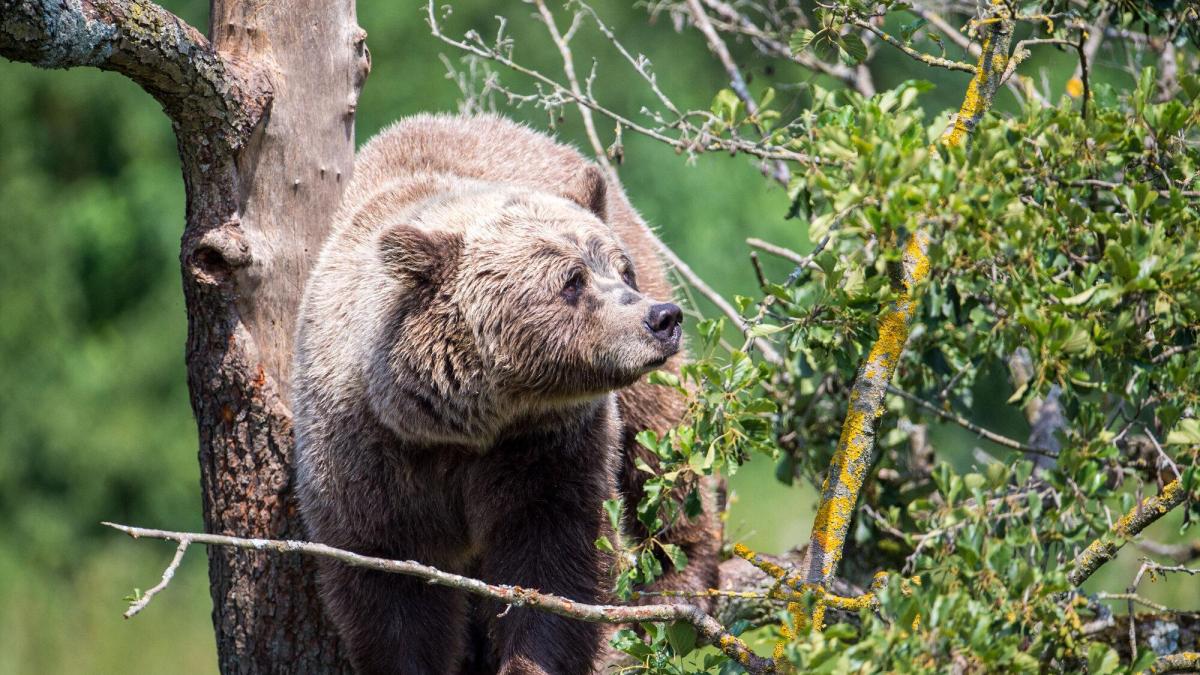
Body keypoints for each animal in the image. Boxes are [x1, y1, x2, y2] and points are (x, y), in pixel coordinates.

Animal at [294, 112, 715, 667]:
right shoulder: (368, 460)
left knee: (663, 452)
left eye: (621, 270)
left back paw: (680, 586)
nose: (661, 318)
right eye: (572, 280)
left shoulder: (546, 449)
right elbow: (389, 592)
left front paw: (532, 659)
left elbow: (557, 563)